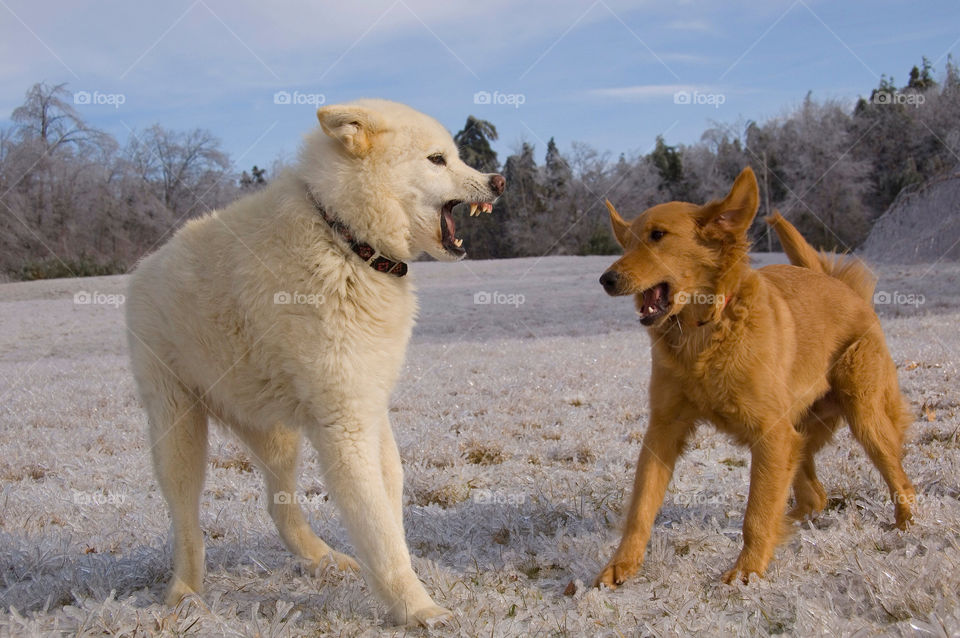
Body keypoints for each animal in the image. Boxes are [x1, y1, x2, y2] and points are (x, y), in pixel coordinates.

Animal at [124, 101, 506, 632]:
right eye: (437, 159)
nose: (498, 181)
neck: (346, 241)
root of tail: (144, 267)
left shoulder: (369, 410)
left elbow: (388, 514)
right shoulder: (344, 425)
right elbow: (379, 531)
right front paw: (420, 610)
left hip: (276, 433)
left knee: (277, 504)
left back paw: (324, 561)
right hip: (177, 429)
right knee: (187, 524)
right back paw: (184, 595)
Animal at [592, 166, 916, 592]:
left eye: (658, 235)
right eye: (626, 241)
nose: (606, 279)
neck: (704, 333)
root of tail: (842, 286)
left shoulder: (770, 434)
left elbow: (756, 514)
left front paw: (747, 572)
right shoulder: (662, 430)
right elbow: (641, 506)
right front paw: (621, 565)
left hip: (864, 417)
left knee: (901, 483)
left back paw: (905, 527)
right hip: (800, 434)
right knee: (815, 496)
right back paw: (794, 524)